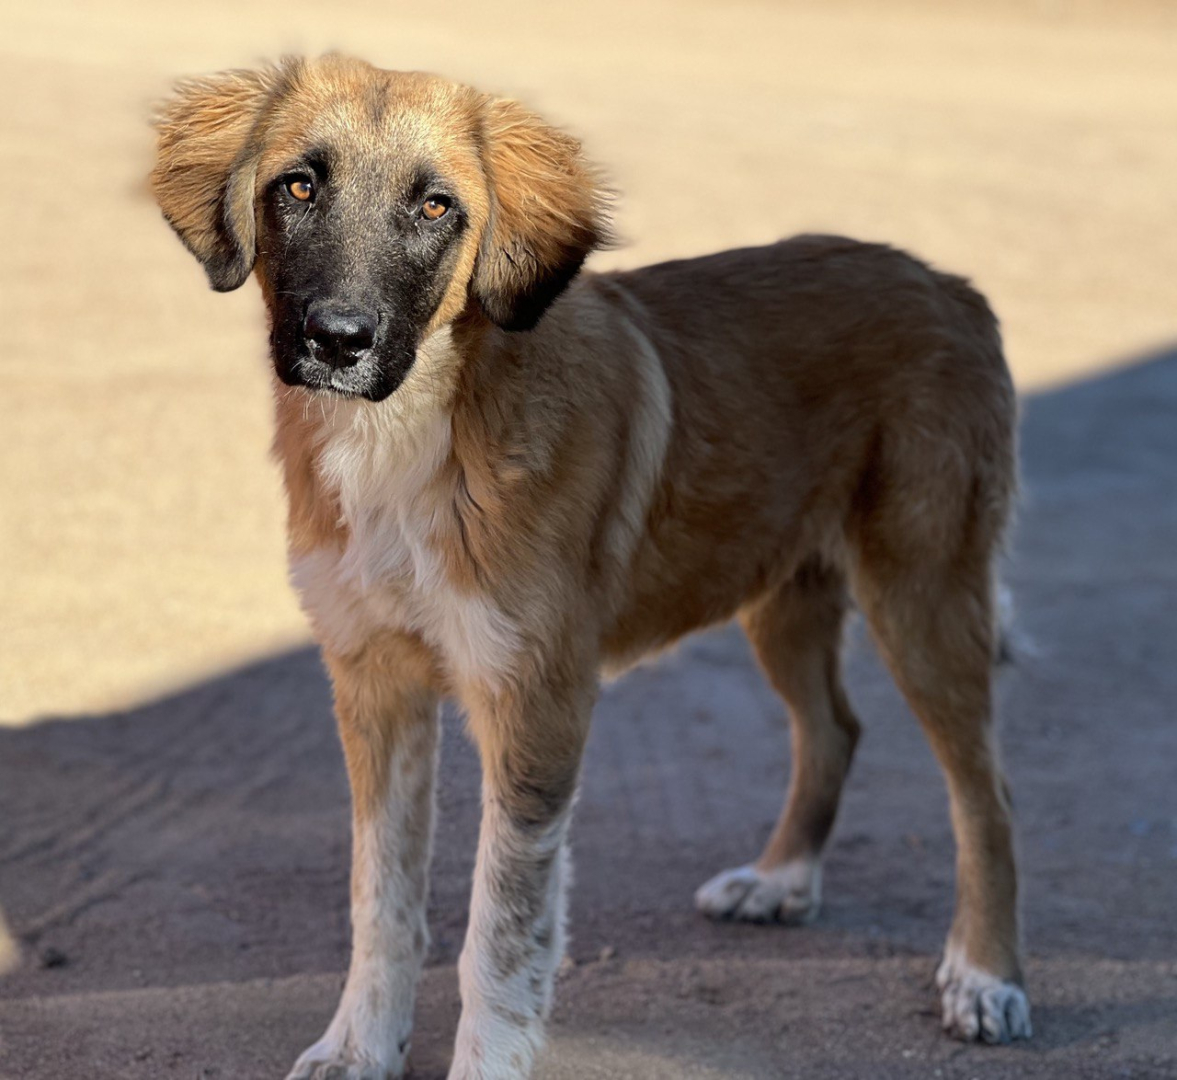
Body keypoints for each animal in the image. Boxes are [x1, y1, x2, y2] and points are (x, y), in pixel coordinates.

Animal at [149, 55, 1031, 1077]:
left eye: (437, 207)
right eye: (297, 186)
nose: (338, 339)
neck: (412, 436)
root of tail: (949, 283)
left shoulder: (535, 699)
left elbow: (500, 932)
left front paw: (484, 1062)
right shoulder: (375, 682)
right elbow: (381, 900)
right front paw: (360, 1046)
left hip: (924, 593)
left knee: (986, 796)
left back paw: (984, 976)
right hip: (780, 590)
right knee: (834, 728)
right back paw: (781, 879)